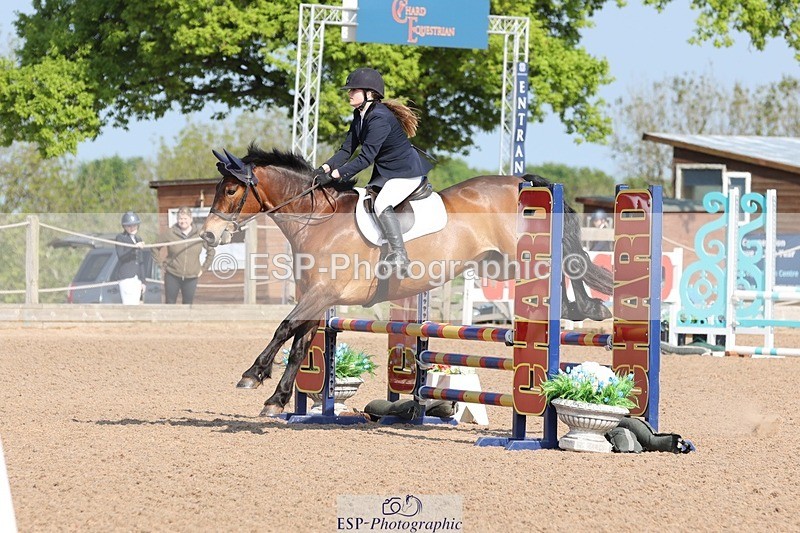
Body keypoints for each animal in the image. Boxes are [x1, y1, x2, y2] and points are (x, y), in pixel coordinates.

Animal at [200, 145, 612, 416]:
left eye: (231, 190)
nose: (208, 235)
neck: (317, 220)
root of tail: (520, 182)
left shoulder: (322, 292)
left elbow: (284, 328)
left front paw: (253, 375)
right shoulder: (318, 299)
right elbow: (299, 345)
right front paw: (276, 399)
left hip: (520, 255)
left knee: (566, 265)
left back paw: (585, 306)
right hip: (502, 262)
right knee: (565, 268)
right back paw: (584, 307)